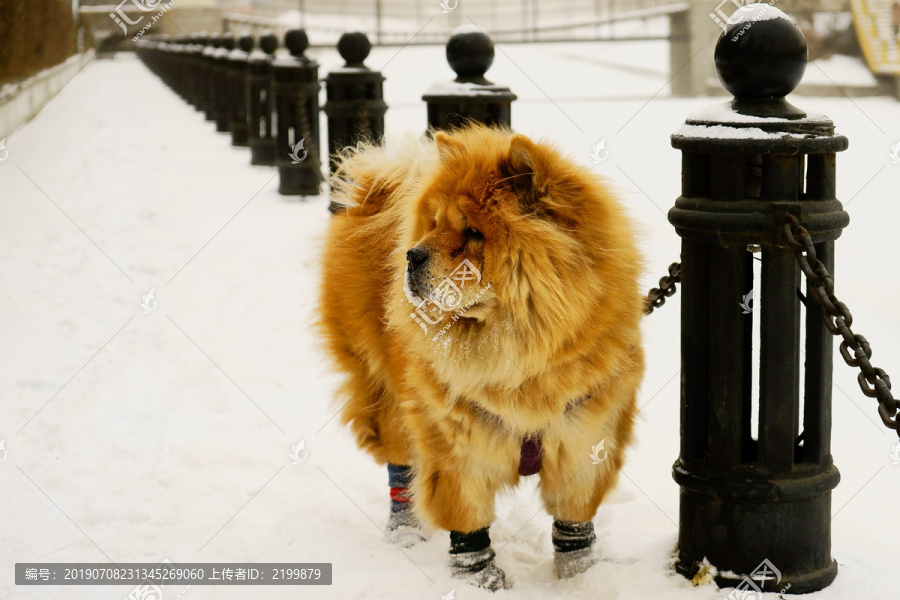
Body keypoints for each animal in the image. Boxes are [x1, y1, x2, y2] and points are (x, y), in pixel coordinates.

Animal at [320, 126, 644, 592]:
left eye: (472, 231)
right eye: (434, 223)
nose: (411, 254)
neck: (520, 356)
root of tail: (378, 189)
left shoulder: (585, 438)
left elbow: (574, 521)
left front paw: (580, 578)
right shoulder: (455, 445)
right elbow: (467, 522)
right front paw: (481, 580)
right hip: (383, 389)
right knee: (399, 461)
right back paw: (404, 531)